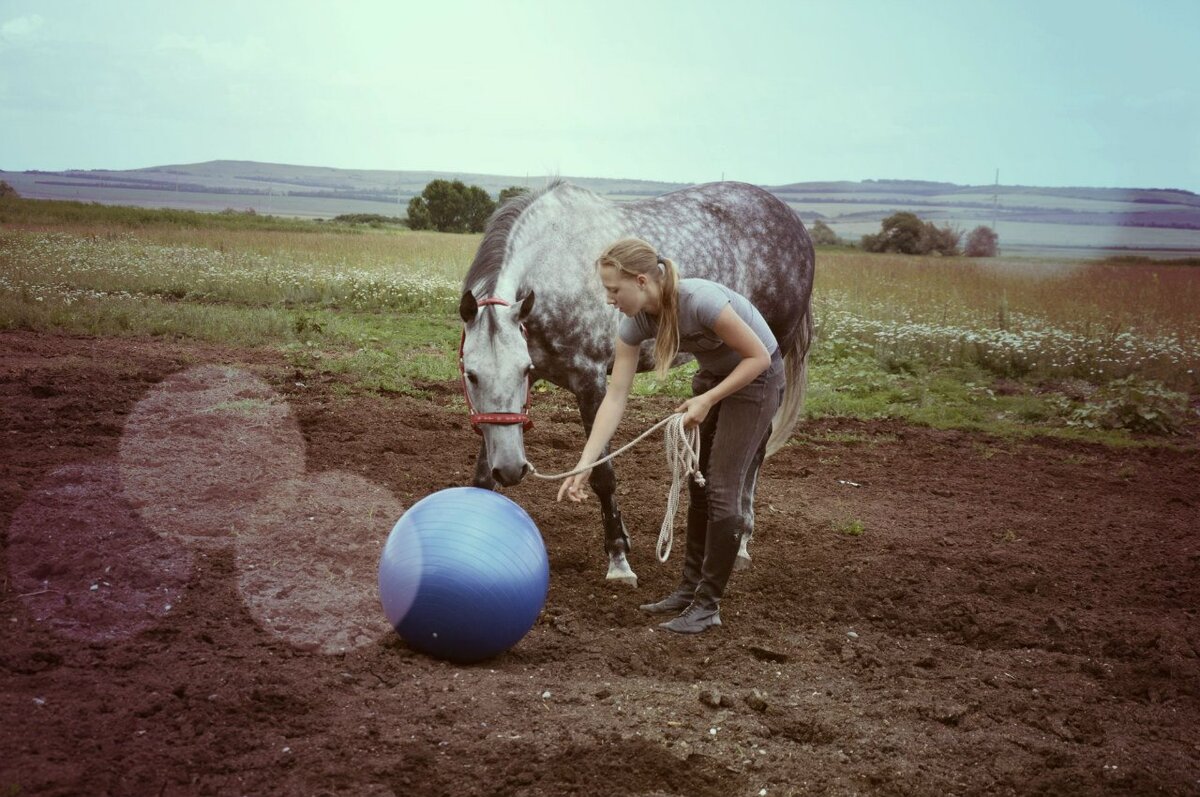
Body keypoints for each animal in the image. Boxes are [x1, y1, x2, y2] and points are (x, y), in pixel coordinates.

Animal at [458, 178, 816, 585]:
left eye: (520, 369)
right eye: (471, 374)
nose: (512, 469)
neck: (554, 266)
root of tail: (795, 224)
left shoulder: (591, 381)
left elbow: (602, 475)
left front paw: (618, 560)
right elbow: (482, 475)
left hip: (772, 352)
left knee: (755, 452)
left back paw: (741, 543)